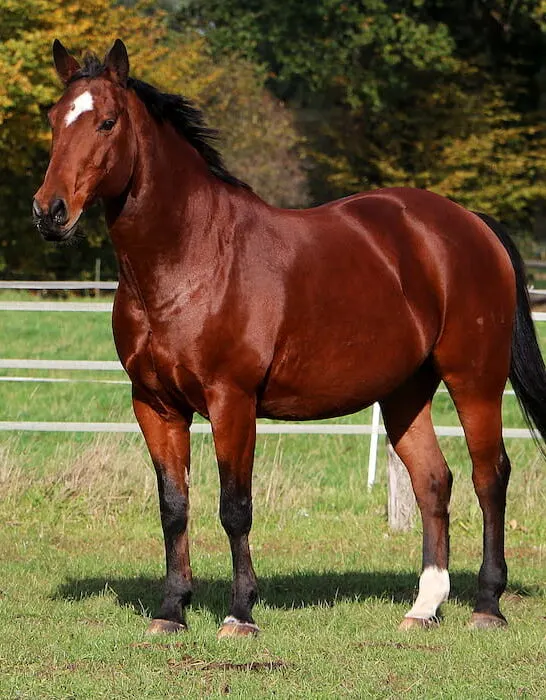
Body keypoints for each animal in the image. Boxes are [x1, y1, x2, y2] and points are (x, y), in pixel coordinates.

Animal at [34, 39, 544, 640]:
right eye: (53, 119)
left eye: (107, 122)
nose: (49, 212)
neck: (192, 255)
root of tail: (470, 222)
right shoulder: (155, 405)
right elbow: (174, 507)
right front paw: (171, 611)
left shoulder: (232, 402)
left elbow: (235, 507)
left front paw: (240, 613)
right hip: (405, 392)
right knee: (433, 482)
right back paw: (424, 607)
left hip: (475, 379)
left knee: (490, 477)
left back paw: (487, 605)